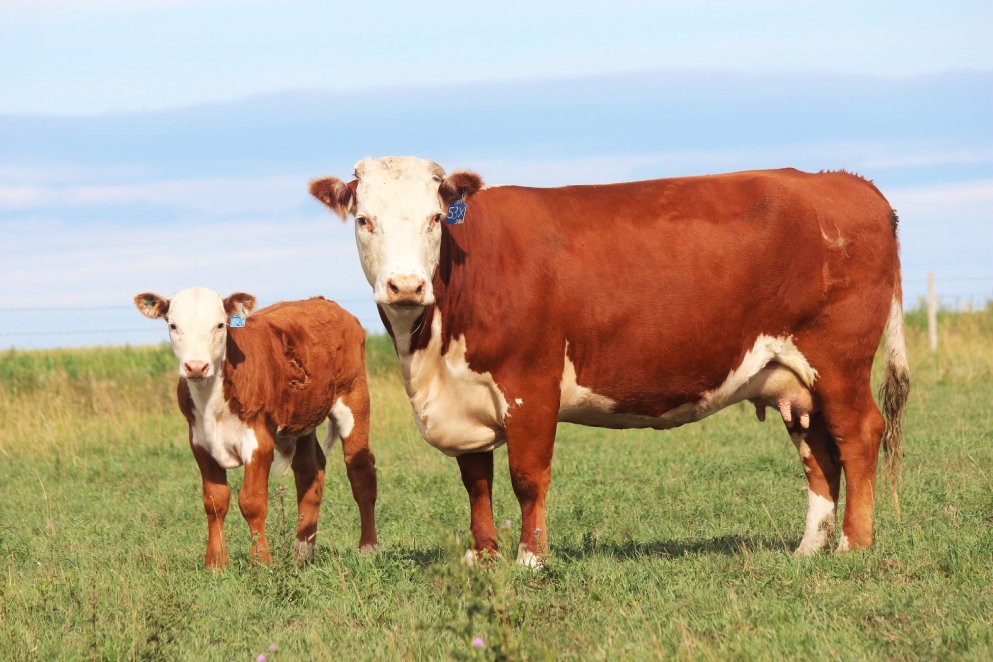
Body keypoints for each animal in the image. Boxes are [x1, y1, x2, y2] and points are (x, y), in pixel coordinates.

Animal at [134, 287, 378, 568]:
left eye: (220, 325)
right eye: (173, 325)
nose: (196, 366)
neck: (211, 402)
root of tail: (326, 303)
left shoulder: (258, 439)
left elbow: (252, 501)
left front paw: (261, 561)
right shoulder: (199, 442)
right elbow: (215, 501)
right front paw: (215, 563)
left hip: (355, 396)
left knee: (360, 470)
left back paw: (369, 548)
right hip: (303, 418)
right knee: (310, 472)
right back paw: (302, 553)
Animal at [309, 156, 910, 568]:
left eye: (435, 218)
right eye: (364, 220)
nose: (406, 285)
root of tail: (847, 182)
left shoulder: (531, 383)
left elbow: (527, 476)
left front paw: (531, 558)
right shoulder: (466, 397)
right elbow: (476, 480)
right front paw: (484, 555)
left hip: (837, 362)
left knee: (860, 434)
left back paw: (853, 546)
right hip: (792, 378)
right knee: (819, 452)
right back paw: (808, 547)